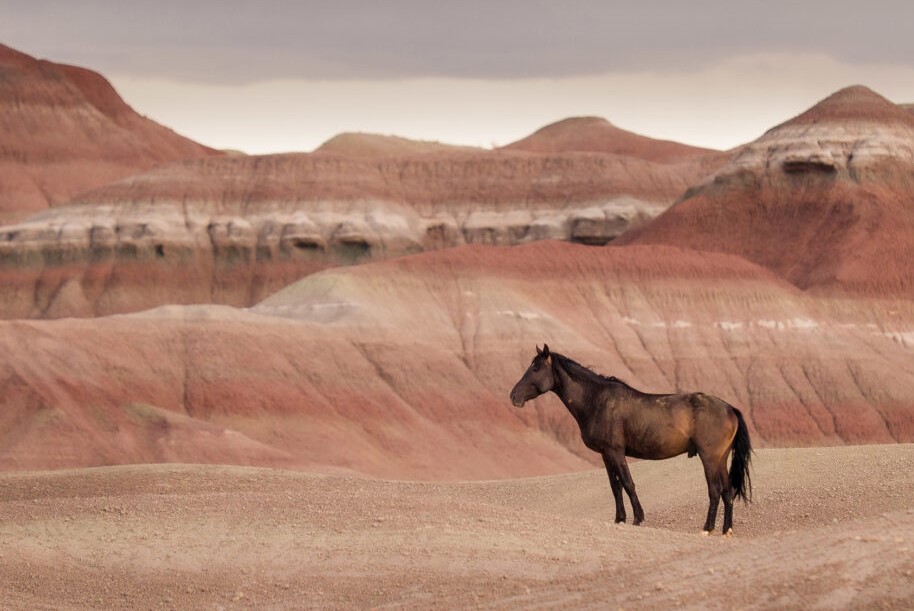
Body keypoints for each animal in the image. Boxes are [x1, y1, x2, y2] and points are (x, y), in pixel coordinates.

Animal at [509, 344, 752, 535]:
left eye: (535, 368)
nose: (513, 397)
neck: (596, 400)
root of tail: (729, 408)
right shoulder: (605, 455)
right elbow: (615, 486)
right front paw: (619, 518)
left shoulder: (615, 451)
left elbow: (627, 483)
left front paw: (637, 518)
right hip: (720, 459)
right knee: (727, 491)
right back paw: (726, 530)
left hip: (709, 457)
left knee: (714, 490)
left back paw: (707, 528)